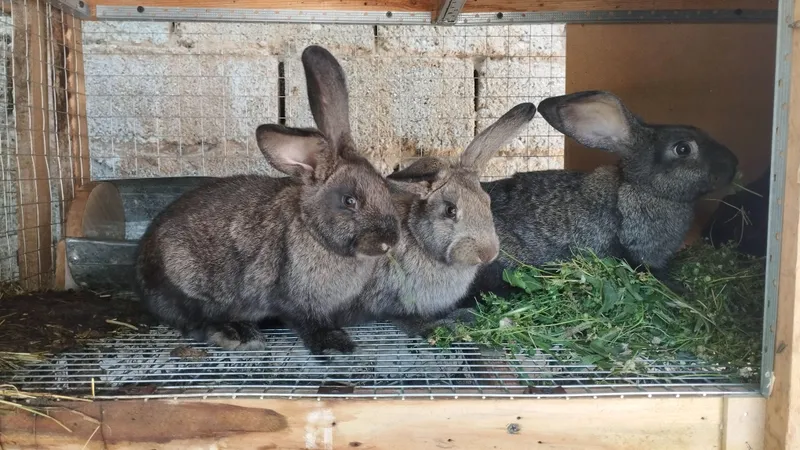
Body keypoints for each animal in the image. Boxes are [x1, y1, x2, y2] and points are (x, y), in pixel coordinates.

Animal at [134, 45, 400, 356]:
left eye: (384, 185)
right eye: (349, 201)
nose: (389, 241)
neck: (313, 231)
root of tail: (141, 274)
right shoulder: (294, 299)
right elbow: (307, 323)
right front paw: (336, 345)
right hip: (189, 285)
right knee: (194, 323)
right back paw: (236, 334)